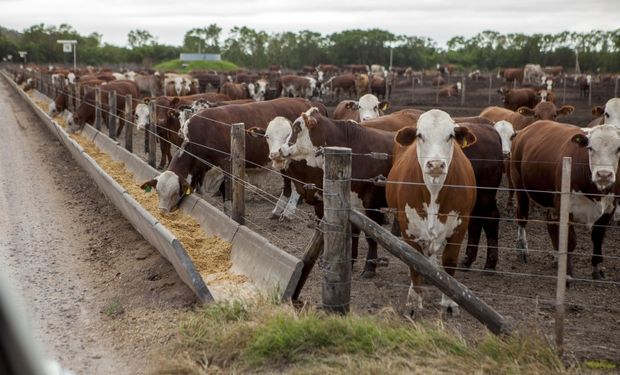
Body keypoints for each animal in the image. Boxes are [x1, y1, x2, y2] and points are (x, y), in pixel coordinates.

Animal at [388, 110, 474, 316]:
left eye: (450, 135)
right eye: (420, 135)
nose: (435, 165)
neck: (434, 191)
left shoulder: (460, 225)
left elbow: (450, 260)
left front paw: (449, 302)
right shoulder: (407, 226)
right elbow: (414, 263)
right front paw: (413, 301)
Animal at [508, 122, 620, 280]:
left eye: (618, 148)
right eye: (590, 147)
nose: (604, 174)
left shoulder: (610, 208)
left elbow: (598, 237)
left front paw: (597, 268)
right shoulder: (566, 207)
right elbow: (570, 241)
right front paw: (567, 273)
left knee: (551, 224)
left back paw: (556, 258)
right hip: (520, 188)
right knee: (522, 218)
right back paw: (522, 250)